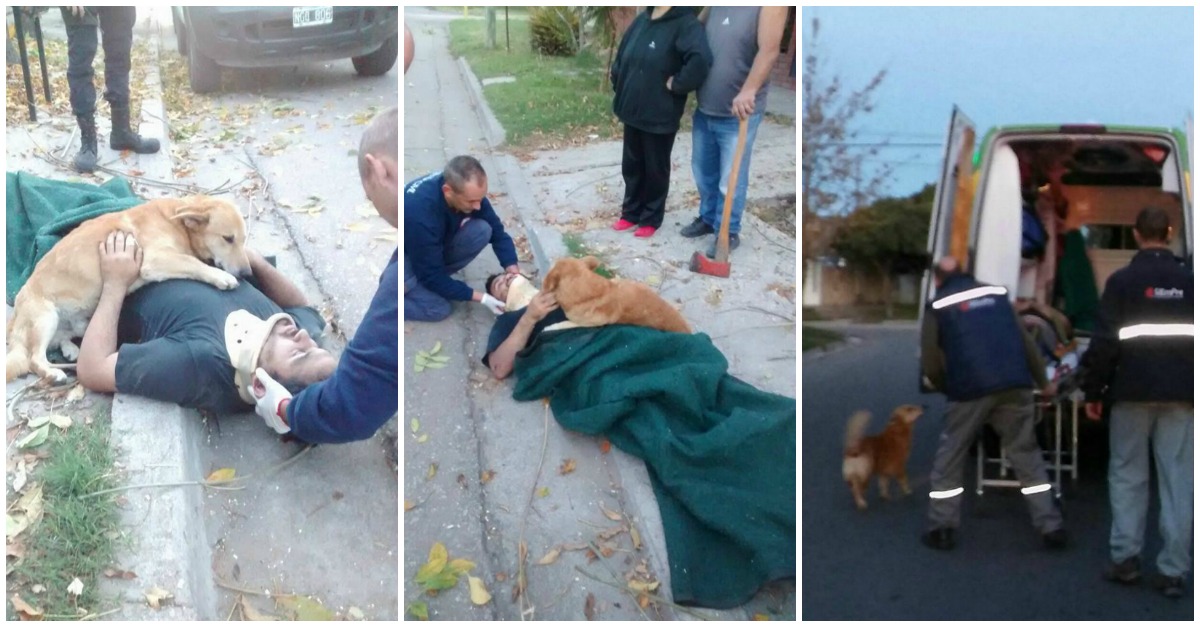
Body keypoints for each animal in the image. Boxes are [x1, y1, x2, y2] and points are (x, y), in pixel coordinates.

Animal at [7, 194, 253, 379]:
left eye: (243, 239)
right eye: (228, 238)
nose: (247, 273)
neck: (177, 222)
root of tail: (15, 319)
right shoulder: (154, 261)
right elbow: (193, 262)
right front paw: (220, 276)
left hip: (76, 324)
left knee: (58, 342)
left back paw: (70, 349)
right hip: (46, 317)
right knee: (34, 359)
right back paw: (53, 373)